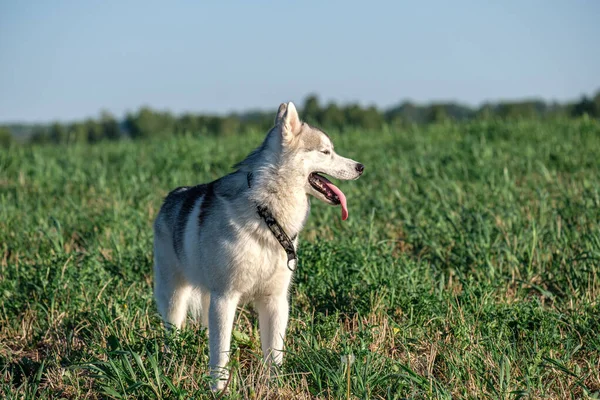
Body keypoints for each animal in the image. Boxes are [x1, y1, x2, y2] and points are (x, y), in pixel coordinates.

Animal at [152, 101, 364, 390]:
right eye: (325, 152)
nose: (361, 167)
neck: (266, 214)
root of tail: (170, 198)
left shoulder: (275, 300)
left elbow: (274, 352)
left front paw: (275, 386)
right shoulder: (225, 297)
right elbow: (221, 351)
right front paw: (218, 389)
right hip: (175, 298)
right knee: (172, 335)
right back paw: (170, 364)